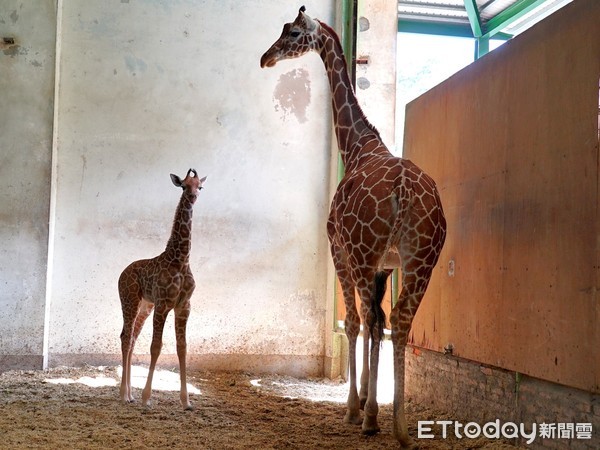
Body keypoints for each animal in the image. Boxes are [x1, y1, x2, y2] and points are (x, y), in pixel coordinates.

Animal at [118, 167, 207, 410]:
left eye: (200, 186)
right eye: (184, 186)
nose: (193, 197)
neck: (181, 260)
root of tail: (121, 273)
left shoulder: (183, 306)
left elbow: (182, 347)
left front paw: (186, 401)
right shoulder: (163, 304)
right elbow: (156, 346)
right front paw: (146, 397)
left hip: (144, 305)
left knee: (131, 338)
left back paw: (129, 394)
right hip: (130, 300)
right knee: (125, 337)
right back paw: (124, 394)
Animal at [262, 7, 446, 446]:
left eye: (292, 33)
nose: (266, 58)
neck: (357, 146)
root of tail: (405, 192)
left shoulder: (342, 250)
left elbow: (356, 323)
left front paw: (355, 406)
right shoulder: (385, 266)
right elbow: (374, 324)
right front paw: (365, 398)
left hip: (363, 254)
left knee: (374, 320)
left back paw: (374, 419)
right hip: (423, 260)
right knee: (399, 322)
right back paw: (399, 427)